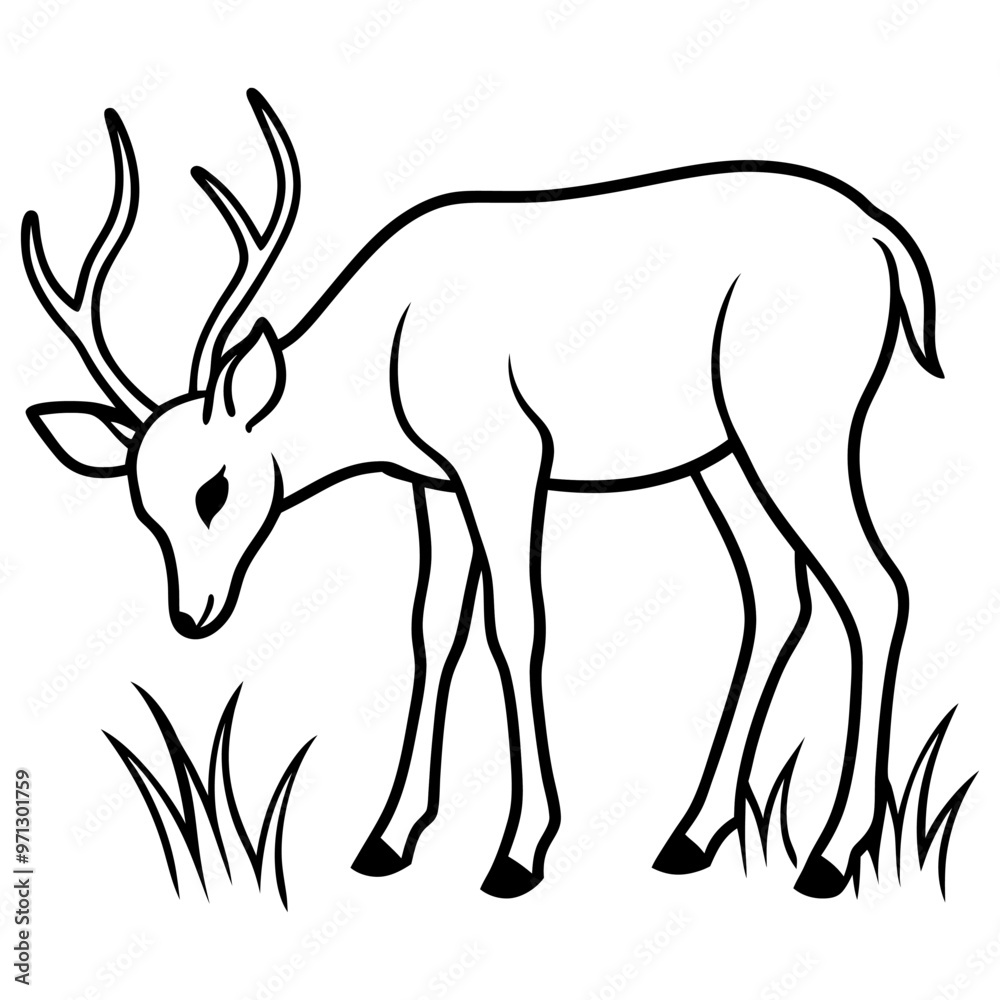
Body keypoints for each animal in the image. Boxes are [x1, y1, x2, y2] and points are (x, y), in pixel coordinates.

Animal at [23, 89, 941, 899]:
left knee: (876, 587)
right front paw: (386, 837)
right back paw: (690, 837)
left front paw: (519, 851)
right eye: (142, 503)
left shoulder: (509, 458)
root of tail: (883, 235)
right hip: (723, 456)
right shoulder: (435, 483)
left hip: (795, 428)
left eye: (214, 488)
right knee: (779, 594)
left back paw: (831, 855)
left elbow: (517, 626)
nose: (193, 614)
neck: (385, 356)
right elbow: (434, 630)